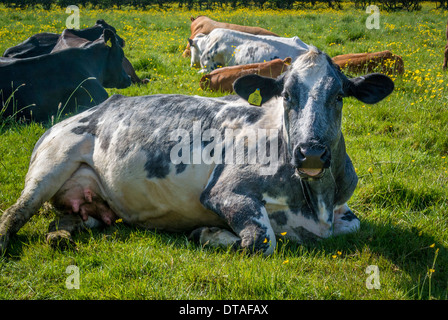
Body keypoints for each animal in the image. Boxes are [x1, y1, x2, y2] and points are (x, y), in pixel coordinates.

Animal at [0, 46, 394, 256]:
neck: (316, 200)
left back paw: (60, 235)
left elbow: (354, 223)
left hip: (87, 200)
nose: (311, 152)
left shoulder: (343, 211)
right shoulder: (226, 191)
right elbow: (260, 240)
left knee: (66, 217)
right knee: (15, 211)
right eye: (285, 95)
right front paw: (206, 233)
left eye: (339, 95)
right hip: (52, 162)